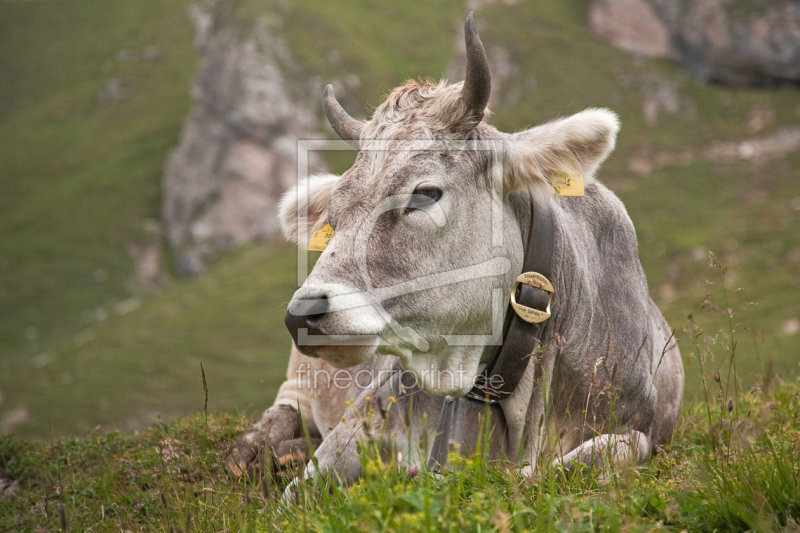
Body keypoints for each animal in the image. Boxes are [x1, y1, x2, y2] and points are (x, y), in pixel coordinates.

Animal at [228, 12, 684, 486]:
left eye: (425, 193)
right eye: (334, 213)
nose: (303, 313)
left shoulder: (633, 429)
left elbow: (598, 456)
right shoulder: (357, 426)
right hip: (299, 381)